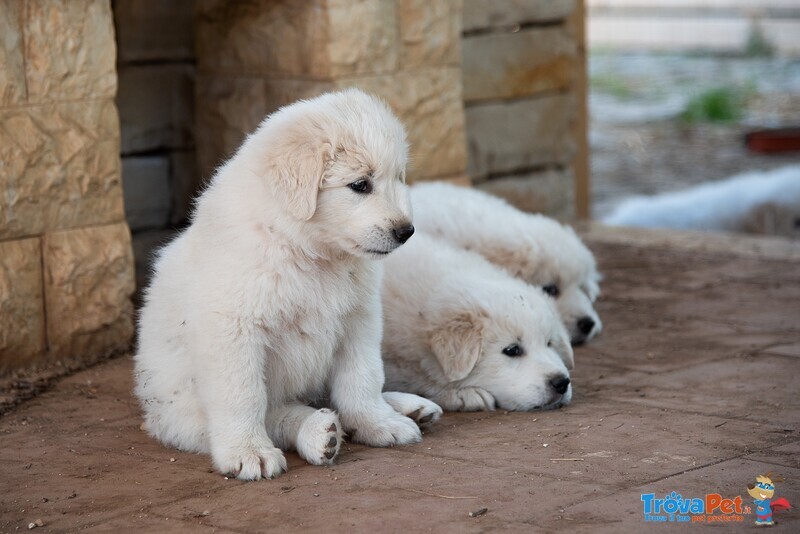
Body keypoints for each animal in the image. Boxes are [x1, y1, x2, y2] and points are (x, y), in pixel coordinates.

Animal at [134, 90, 440, 484]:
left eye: (398, 178)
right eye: (360, 185)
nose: (406, 231)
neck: (310, 251)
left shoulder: (359, 320)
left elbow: (363, 378)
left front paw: (378, 423)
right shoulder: (234, 329)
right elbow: (244, 396)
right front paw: (248, 452)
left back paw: (408, 407)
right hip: (182, 414)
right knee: (278, 415)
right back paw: (318, 434)